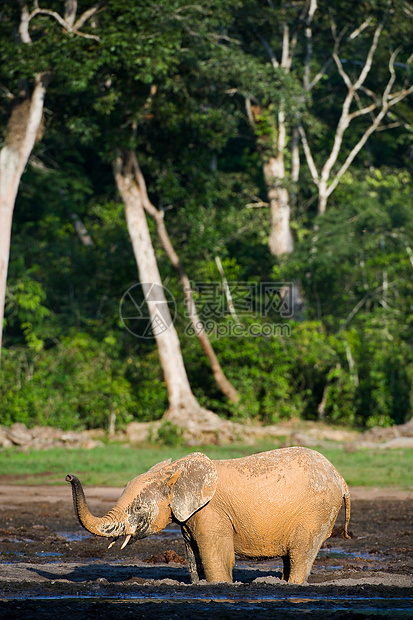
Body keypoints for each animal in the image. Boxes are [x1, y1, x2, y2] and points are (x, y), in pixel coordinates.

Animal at [66, 448, 350, 584]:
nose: (68, 476)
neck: (175, 471)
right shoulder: (190, 515)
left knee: (300, 554)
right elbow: (194, 557)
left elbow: (217, 558)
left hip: (316, 512)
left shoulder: (212, 512)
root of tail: (341, 478)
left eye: (137, 510)